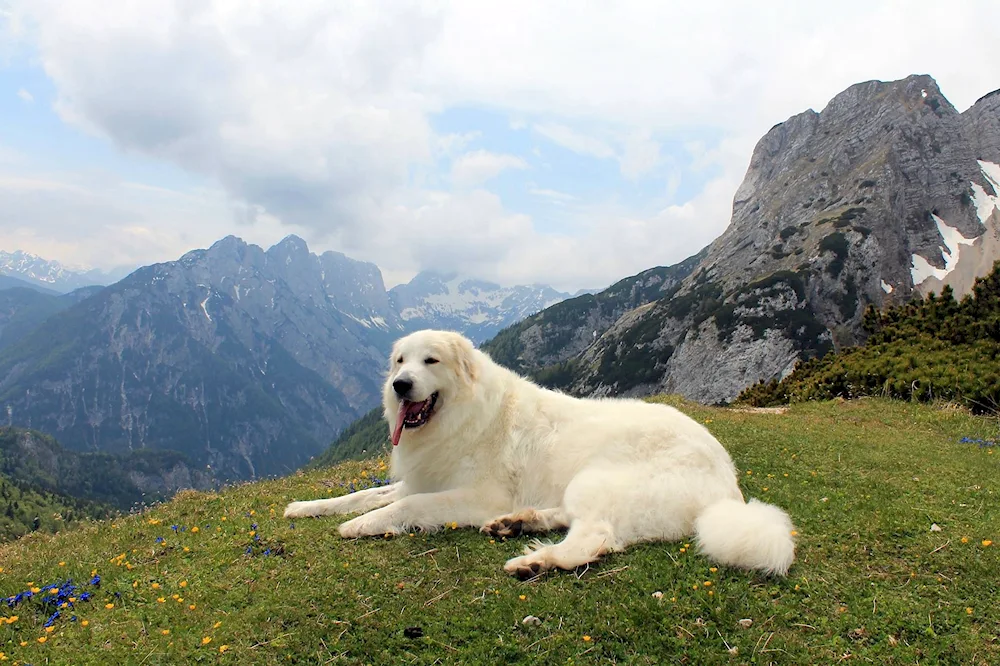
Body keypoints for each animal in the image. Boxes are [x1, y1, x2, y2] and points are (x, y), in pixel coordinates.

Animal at [288, 328, 796, 576]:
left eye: (430, 360)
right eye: (399, 361)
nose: (399, 384)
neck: (467, 414)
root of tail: (728, 483)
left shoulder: (475, 495)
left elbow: (405, 506)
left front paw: (360, 526)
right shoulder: (422, 477)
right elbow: (364, 495)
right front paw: (306, 506)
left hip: (595, 479)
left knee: (594, 537)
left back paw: (535, 560)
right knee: (571, 519)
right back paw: (518, 523)